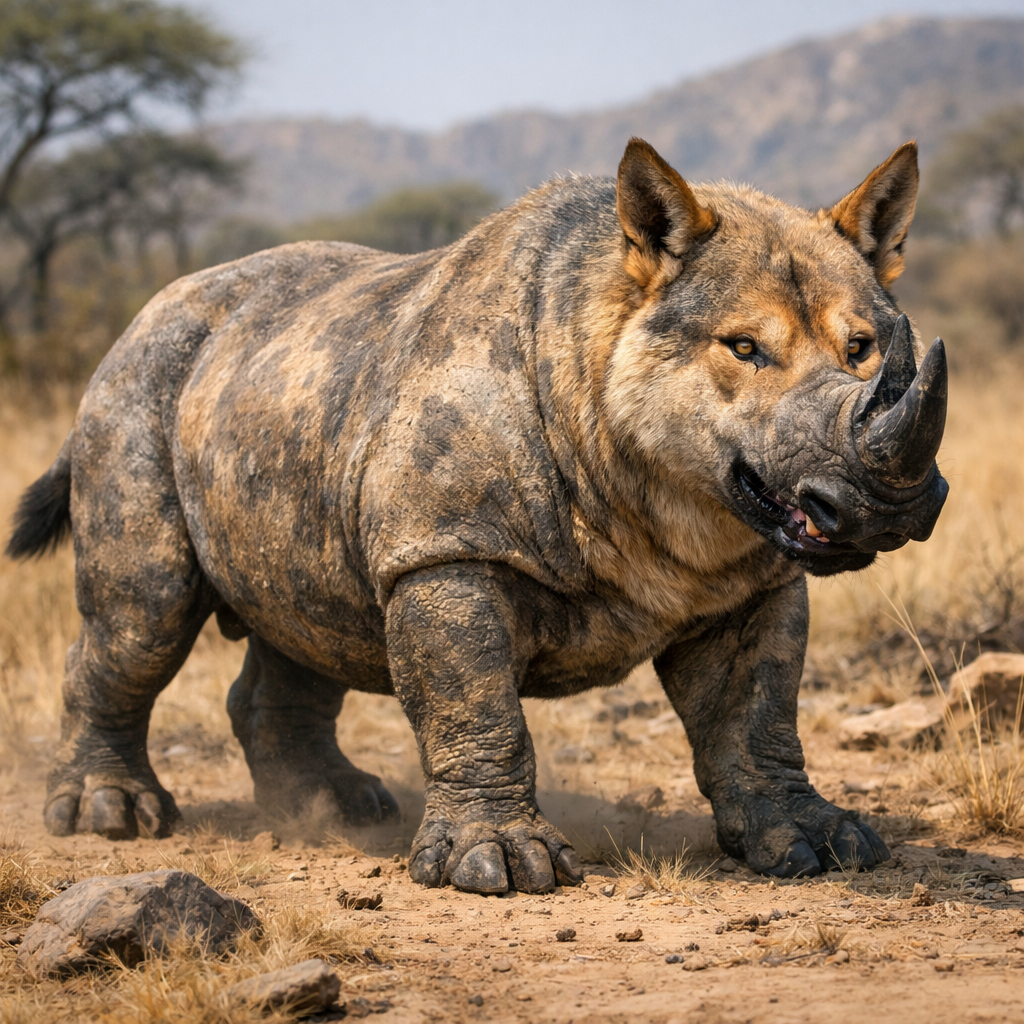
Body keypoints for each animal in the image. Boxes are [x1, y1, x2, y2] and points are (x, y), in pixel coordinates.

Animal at [7, 138, 947, 893]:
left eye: (865, 350)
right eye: (743, 349)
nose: (884, 502)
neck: (597, 332)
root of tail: (140, 319)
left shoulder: (749, 569)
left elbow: (759, 710)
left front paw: (820, 844)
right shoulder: (446, 548)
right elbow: (475, 698)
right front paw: (499, 865)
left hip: (277, 401)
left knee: (305, 608)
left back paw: (338, 810)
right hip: (137, 384)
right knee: (145, 611)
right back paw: (110, 817)